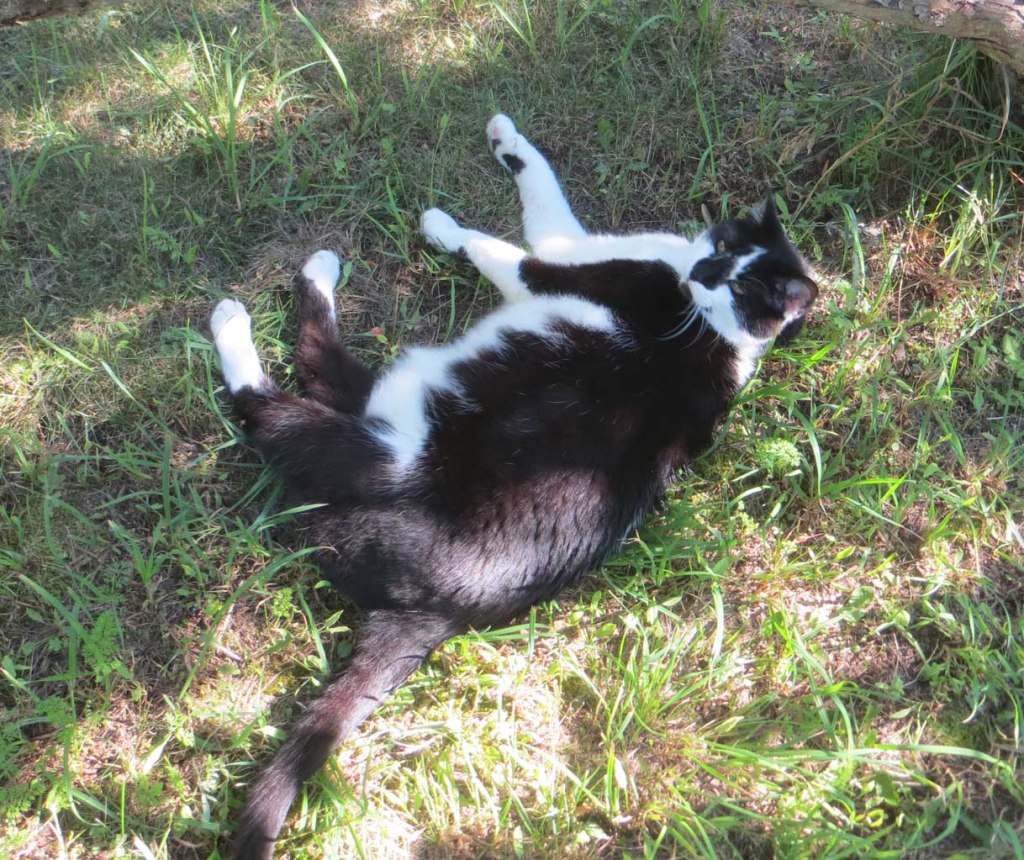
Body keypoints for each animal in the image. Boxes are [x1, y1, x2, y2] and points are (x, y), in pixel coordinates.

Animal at [210, 113, 817, 859]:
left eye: (737, 288)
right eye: (727, 248)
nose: (702, 270)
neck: (715, 328)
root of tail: (440, 610)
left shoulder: (557, 263)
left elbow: (499, 245)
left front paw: (442, 225)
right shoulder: (581, 243)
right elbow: (543, 185)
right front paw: (507, 139)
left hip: (391, 445)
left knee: (283, 405)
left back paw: (237, 321)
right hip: (392, 401)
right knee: (328, 372)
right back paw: (319, 270)